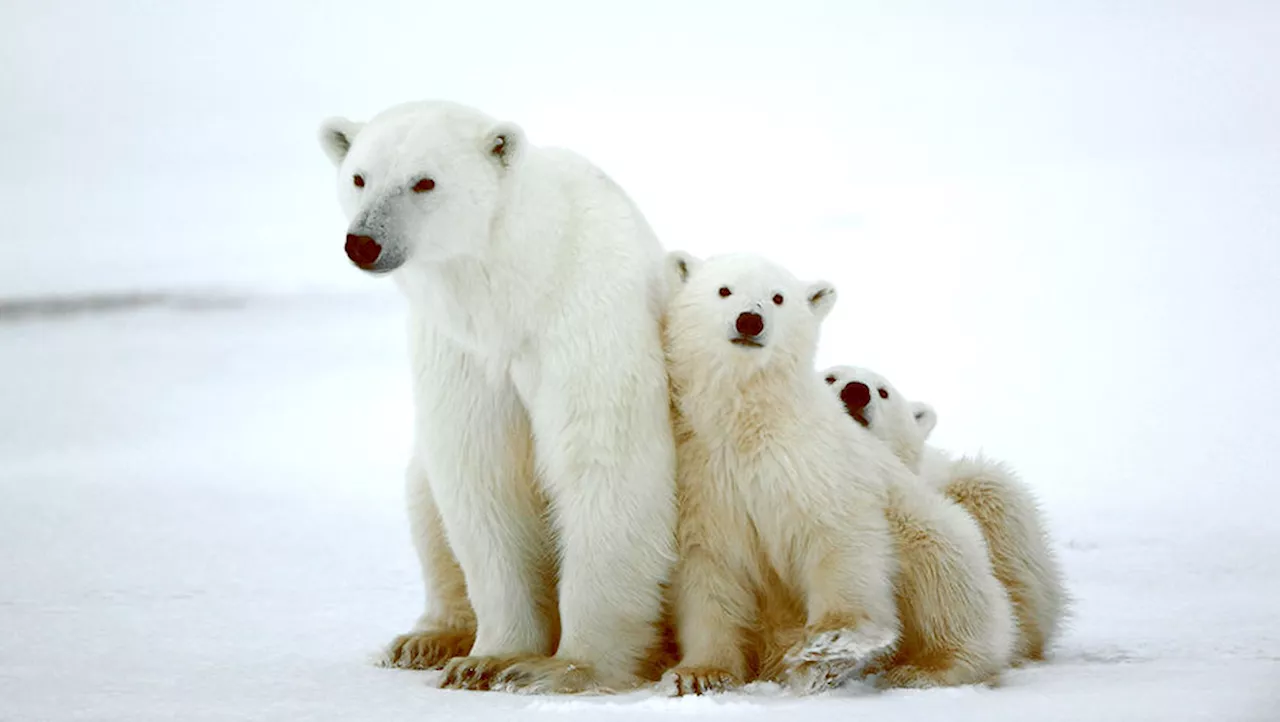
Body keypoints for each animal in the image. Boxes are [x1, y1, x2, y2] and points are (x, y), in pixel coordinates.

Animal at [317, 101, 680, 691]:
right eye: (359, 177)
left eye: (424, 181)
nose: (363, 242)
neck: (517, 288)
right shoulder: (461, 350)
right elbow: (482, 475)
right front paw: (487, 659)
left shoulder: (586, 320)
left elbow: (605, 465)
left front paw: (563, 668)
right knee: (424, 496)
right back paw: (425, 639)